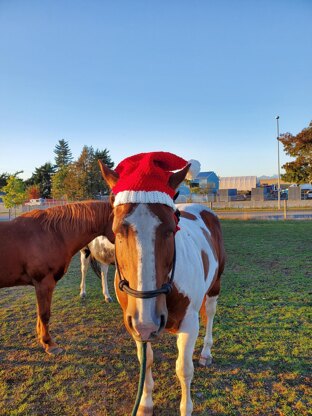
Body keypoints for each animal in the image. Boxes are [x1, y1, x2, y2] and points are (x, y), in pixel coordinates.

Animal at [0, 202, 114, 354]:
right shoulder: (44, 283)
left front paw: (42, 339)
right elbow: (44, 314)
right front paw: (49, 343)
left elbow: (41, 313)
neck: (52, 234)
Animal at [99, 153, 224, 416]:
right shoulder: (134, 325)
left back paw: (206, 352)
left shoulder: (188, 324)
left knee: (210, 314)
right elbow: (146, 362)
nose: (148, 322)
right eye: (117, 230)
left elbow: (184, 369)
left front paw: (186, 409)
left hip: (215, 286)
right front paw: (145, 404)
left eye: (169, 229)